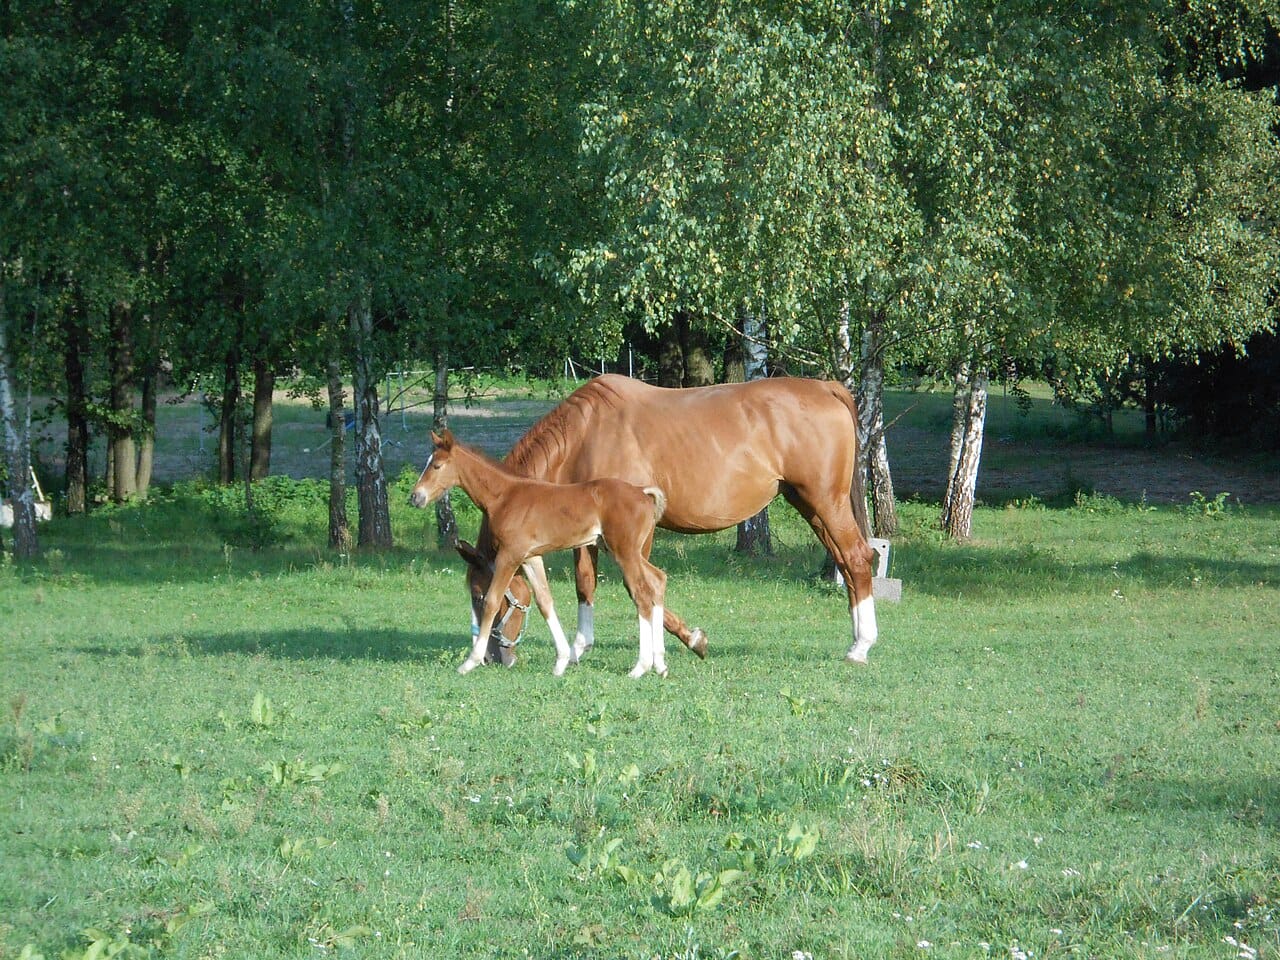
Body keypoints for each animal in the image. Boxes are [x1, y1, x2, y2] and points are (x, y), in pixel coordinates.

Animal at [410, 429, 674, 678]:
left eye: (436, 465)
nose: (415, 497)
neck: (504, 497)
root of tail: (642, 493)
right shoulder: (531, 558)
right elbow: (545, 601)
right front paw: (561, 662)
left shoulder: (509, 555)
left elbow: (494, 600)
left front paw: (469, 662)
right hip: (626, 552)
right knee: (658, 579)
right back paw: (660, 664)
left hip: (624, 552)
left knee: (641, 594)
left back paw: (640, 667)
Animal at [460, 374, 880, 668]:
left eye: (481, 595)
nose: (493, 656)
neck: (586, 435)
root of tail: (826, 388)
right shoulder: (589, 531)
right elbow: (585, 583)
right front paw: (580, 647)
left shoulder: (632, 536)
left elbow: (640, 588)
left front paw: (688, 642)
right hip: (810, 505)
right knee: (844, 562)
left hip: (825, 502)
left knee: (857, 559)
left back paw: (861, 646)